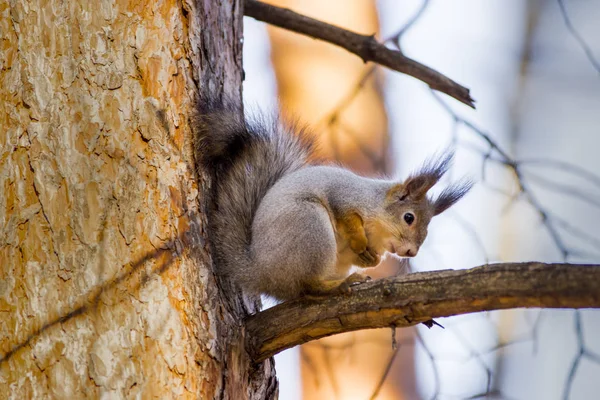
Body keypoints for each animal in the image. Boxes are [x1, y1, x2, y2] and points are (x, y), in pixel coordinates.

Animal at [195, 98, 472, 302]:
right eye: (409, 218)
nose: (411, 252)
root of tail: (259, 270)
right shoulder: (344, 195)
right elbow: (346, 216)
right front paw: (359, 240)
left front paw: (371, 259)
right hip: (309, 226)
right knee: (308, 287)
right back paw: (338, 285)